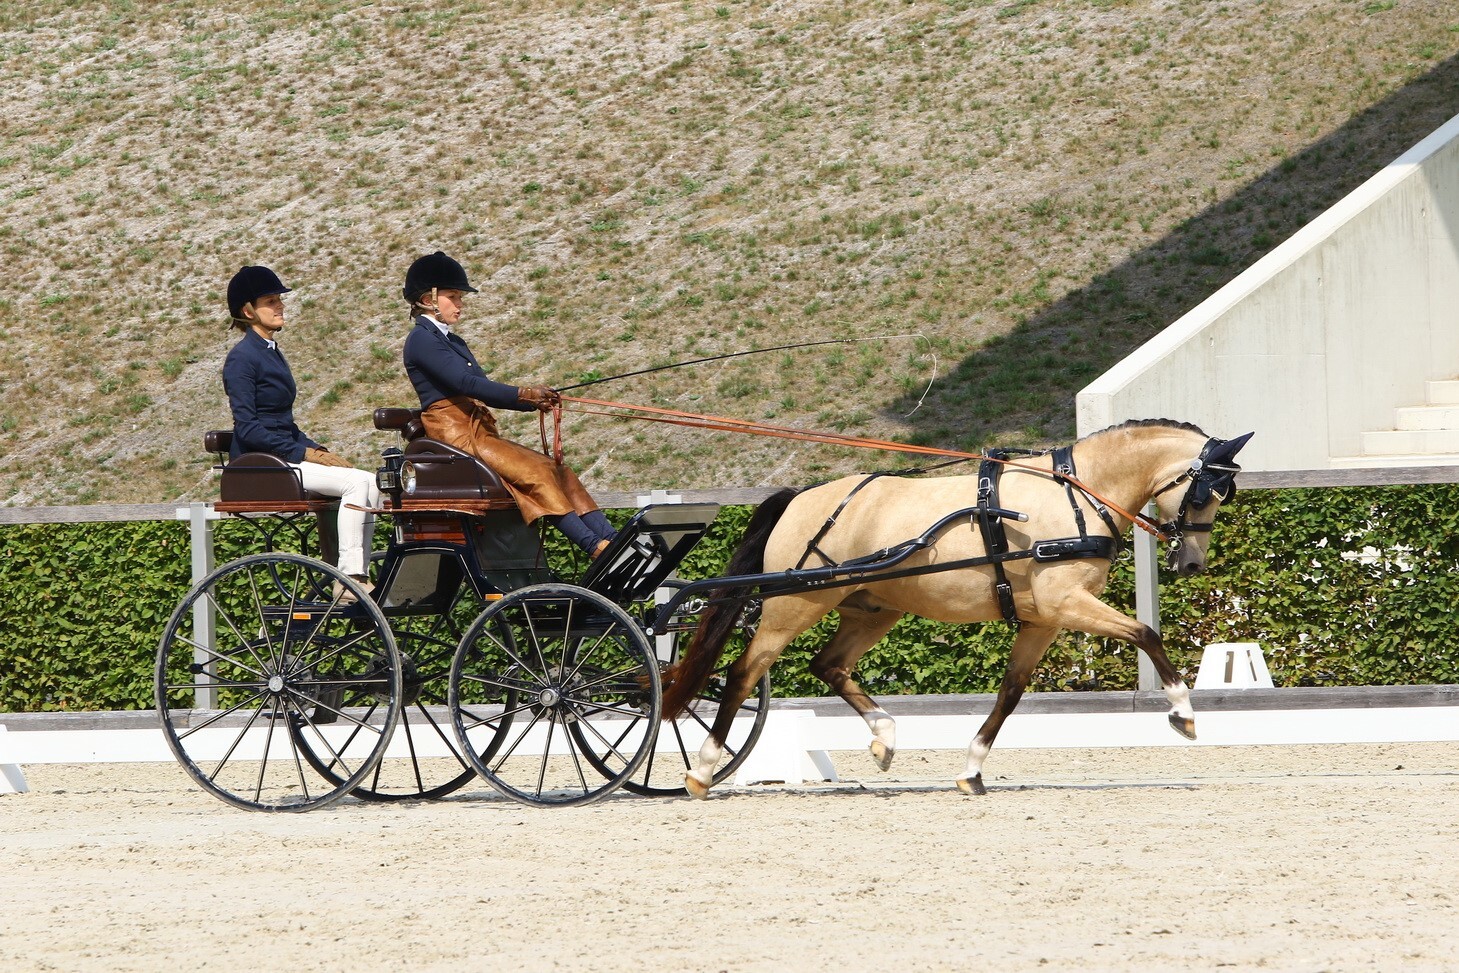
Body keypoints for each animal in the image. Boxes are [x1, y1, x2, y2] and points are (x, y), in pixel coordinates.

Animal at [661, 418, 1253, 797]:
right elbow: (1145, 633)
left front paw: (972, 768)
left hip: (873, 608)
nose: (1192, 562)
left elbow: (1011, 692)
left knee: (828, 664)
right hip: (795, 604)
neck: (1079, 494)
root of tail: (802, 497)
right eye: (1205, 493)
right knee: (744, 672)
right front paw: (1183, 712)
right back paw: (703, 771)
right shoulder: (1066, 603)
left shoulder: (1044, 619)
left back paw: (884, 738)